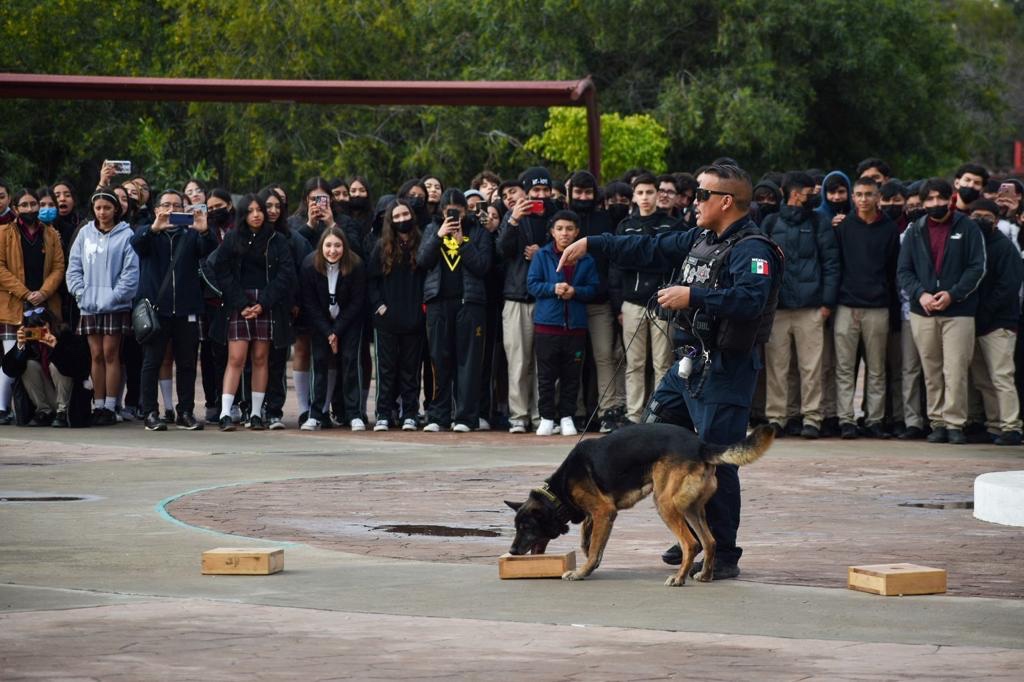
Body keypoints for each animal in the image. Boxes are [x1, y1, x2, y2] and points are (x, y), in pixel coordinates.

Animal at [503, 419, 774, 585]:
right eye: (517, 527)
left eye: (526, 527)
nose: (512, 552)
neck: (558, 491)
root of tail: (700, 445)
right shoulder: (599, 515)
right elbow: (589, 541)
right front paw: (590, 560)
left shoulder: (604, 511)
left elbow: (593, 547)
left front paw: (581, 572)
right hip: (691, 509)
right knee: (709, 542)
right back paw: (706, 575)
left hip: (665, 504)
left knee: (691, 543)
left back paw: (679, 578)